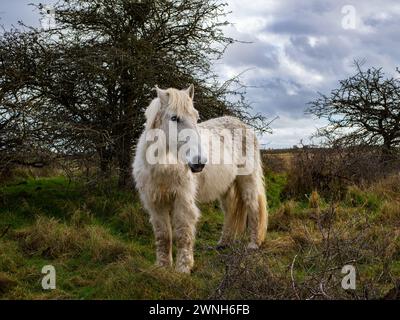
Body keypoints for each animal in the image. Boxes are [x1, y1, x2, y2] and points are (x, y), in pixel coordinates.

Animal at [133, 85, 268, 272]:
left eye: (196, 117)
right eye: (174, 118)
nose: (199, 162)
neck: (163, 166)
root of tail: (242, 125)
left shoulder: (183, 201)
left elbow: (183, 234)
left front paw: (183, 268)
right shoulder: (156, 204)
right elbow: (163, 236)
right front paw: (162, 267)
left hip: (247, 182)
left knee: (254, 208)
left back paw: (253, 244)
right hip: (226, 188)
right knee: (230, 212)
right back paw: (223, 243)